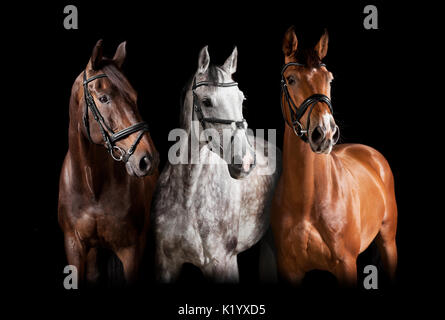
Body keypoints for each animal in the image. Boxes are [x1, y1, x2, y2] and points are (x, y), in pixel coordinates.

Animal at [56, 38, 158, 286]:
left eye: (135, 97)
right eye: (104, 98)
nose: (147, 159)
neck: (93, 187)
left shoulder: (131, 251)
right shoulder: (74, 246)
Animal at [152, 46, 278, 282]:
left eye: (241, 99)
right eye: (207, 101)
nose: (246, 162)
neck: (188, 195)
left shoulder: (223, 263)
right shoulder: (165, 265)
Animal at [268, 27, 398, 286]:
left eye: (329, 79)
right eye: (291, 79)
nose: (325, 132)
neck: (307, 202)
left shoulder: (346, 265)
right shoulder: (288, 269)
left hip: (389, 241)